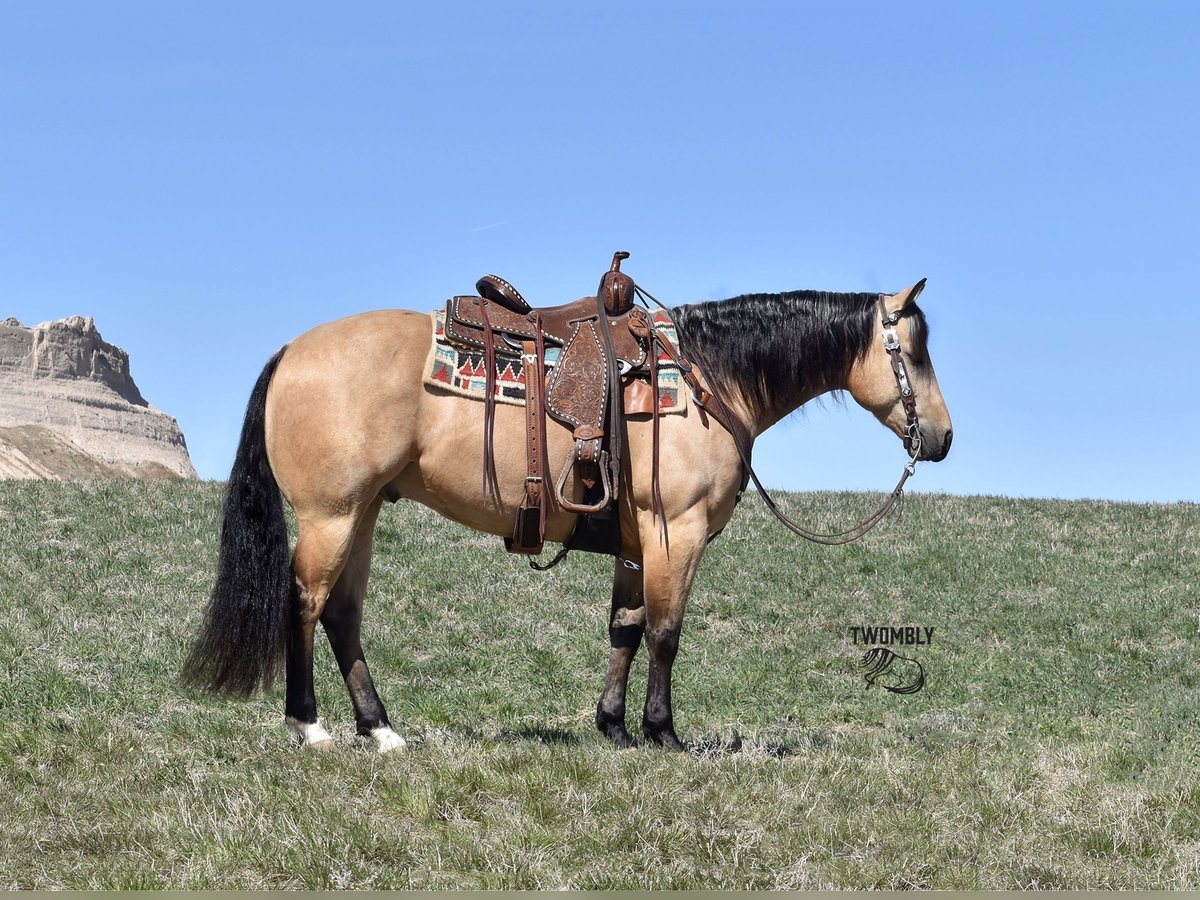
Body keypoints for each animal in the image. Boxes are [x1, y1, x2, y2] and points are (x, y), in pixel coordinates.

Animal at [184, 262, 955, 753]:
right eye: (915, 354)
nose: (944, 438)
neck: (707, 379)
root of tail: (291, 351)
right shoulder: (676, 531)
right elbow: (666, 632)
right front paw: (663, 732)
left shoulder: (635, 542)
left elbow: (624, 630)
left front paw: (614, 727)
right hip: (332, 514)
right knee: (305, 603)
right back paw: (308, 726)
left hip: (364, 511)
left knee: (342, 614)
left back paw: (380, 730)